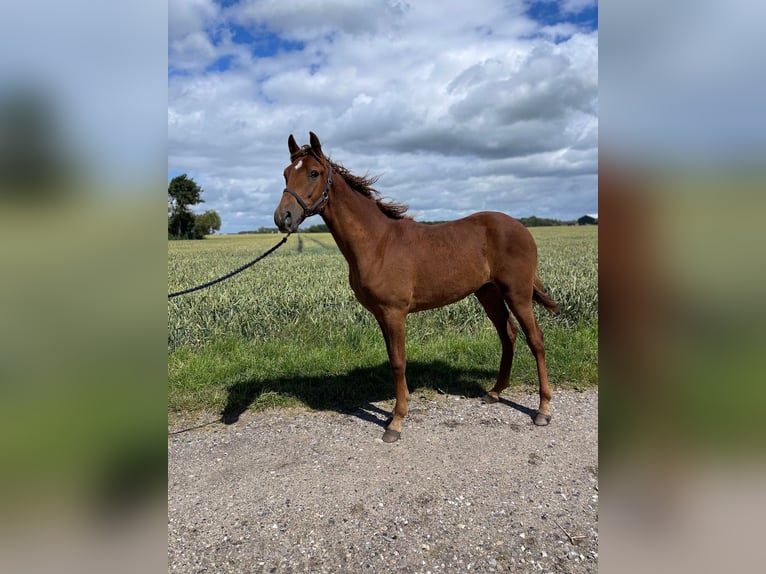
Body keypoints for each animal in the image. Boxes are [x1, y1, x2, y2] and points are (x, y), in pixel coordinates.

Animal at [272, 134, 560, 446]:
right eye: (286, 174)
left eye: (314, 173)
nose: (283, 217)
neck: (377, 242)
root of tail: (522, 228)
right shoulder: (381, 315)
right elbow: (392, 360)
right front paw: (392, 414)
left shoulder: (394, 312)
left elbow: (399, 362)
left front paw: (396, 423)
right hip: (488, 293)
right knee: (508, 334)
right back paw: (495, 392)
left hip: (517, 293)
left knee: (535, 339)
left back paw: (543, 410)